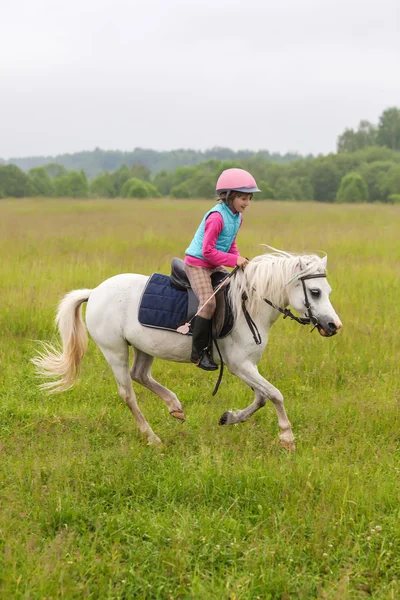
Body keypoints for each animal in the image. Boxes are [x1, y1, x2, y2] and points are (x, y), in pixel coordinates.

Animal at [32, 248, 342, 450]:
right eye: (315, 292)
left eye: (327, 291)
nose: (334, 325)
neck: (249, 305)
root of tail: (94, 292)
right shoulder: (240, 365)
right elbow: (275, 395)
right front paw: (287, 438)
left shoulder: (246, 366)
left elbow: (262, 397)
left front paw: (230, 417)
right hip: (115, 350)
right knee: (128, 393)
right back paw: (153, 438)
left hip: (144, 346)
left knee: (140, 375)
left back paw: (175, 407)